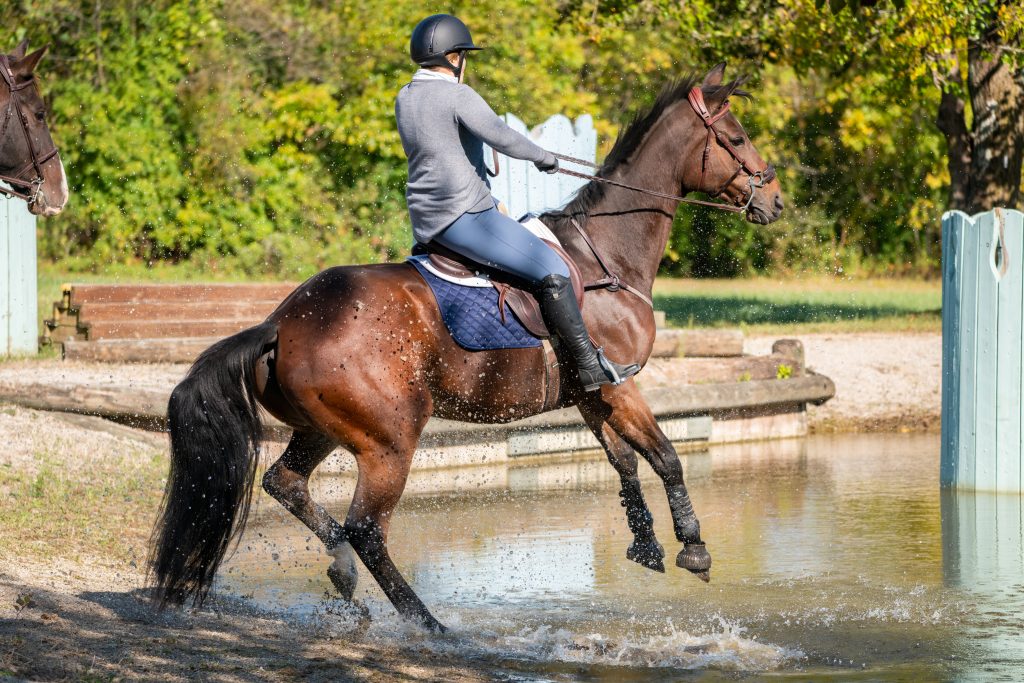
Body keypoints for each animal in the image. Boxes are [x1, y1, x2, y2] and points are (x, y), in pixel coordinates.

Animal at [149, 63, 784, 632]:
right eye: (735, 139)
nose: (774, 199)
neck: (608, 255)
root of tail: (282, 322)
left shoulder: (591, 393)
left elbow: (624, 461)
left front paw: (647, 543)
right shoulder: (620, 382)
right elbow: (666, 456)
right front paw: (693, 547)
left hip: (324, 428)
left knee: (287, 485)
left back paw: (343, 572)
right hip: (389, 442)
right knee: (367, 528)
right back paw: (425, 622)